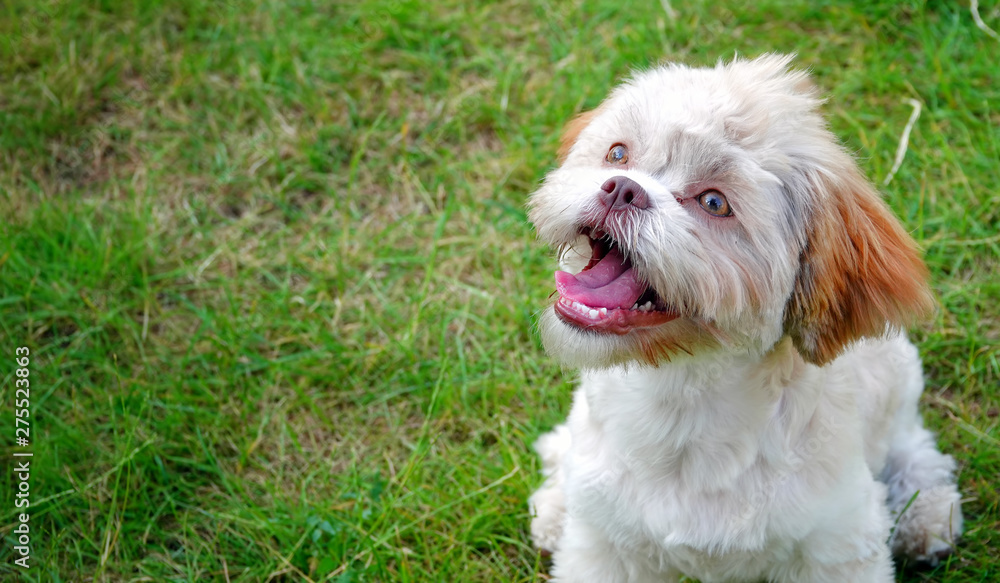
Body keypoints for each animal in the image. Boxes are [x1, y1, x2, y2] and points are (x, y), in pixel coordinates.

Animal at [528, 52, 964, 580]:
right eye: (617, 154)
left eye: (714, 202)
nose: (622, 189)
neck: (682, 392)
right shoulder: (606, 547)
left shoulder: (837, 544)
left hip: (899, 398)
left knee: (915, 451)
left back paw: (926, 514)